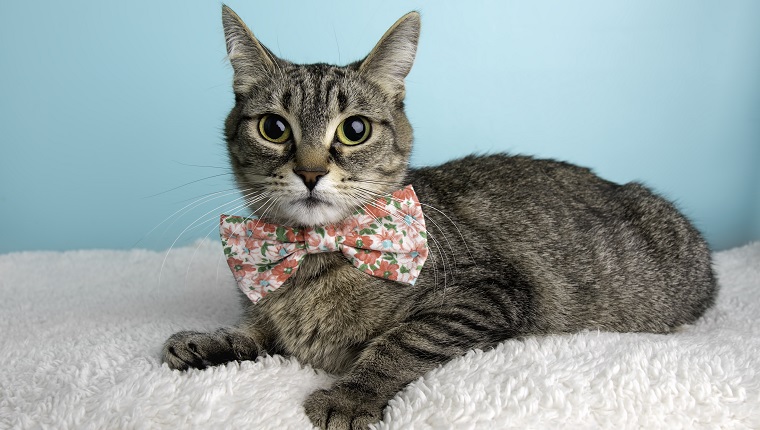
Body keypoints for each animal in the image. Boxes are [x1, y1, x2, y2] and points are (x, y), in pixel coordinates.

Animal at [162, 6, 720, 430]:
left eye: (354, 130)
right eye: (274, 128)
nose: (311, 171)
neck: (314, 258)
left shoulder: (487, 290)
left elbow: (403, 340)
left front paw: (349, 395)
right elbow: (257, 331)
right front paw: (213, 342)